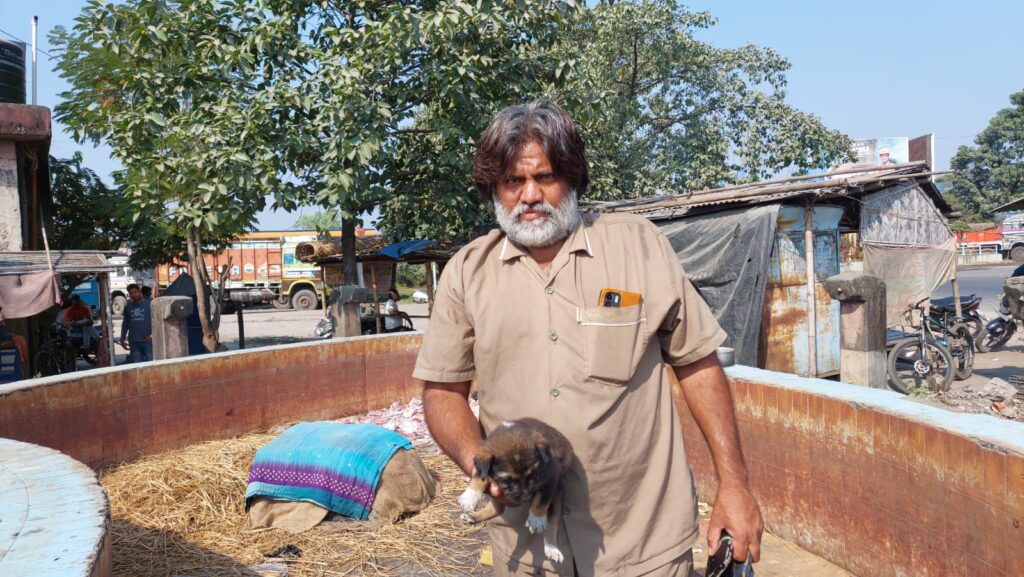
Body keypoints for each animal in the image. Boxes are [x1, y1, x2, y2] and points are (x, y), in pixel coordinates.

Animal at [457, 417, 574, 563]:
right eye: (507, 479)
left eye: (532, 474)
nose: (526, 498)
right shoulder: (484, 469)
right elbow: (479, 478)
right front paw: (469, 497)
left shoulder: (552, 473)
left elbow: (542, 500)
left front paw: (536, 518)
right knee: (498, 509)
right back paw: (474, 516)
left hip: (558, 495)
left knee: (553, 523)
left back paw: (552, 548)